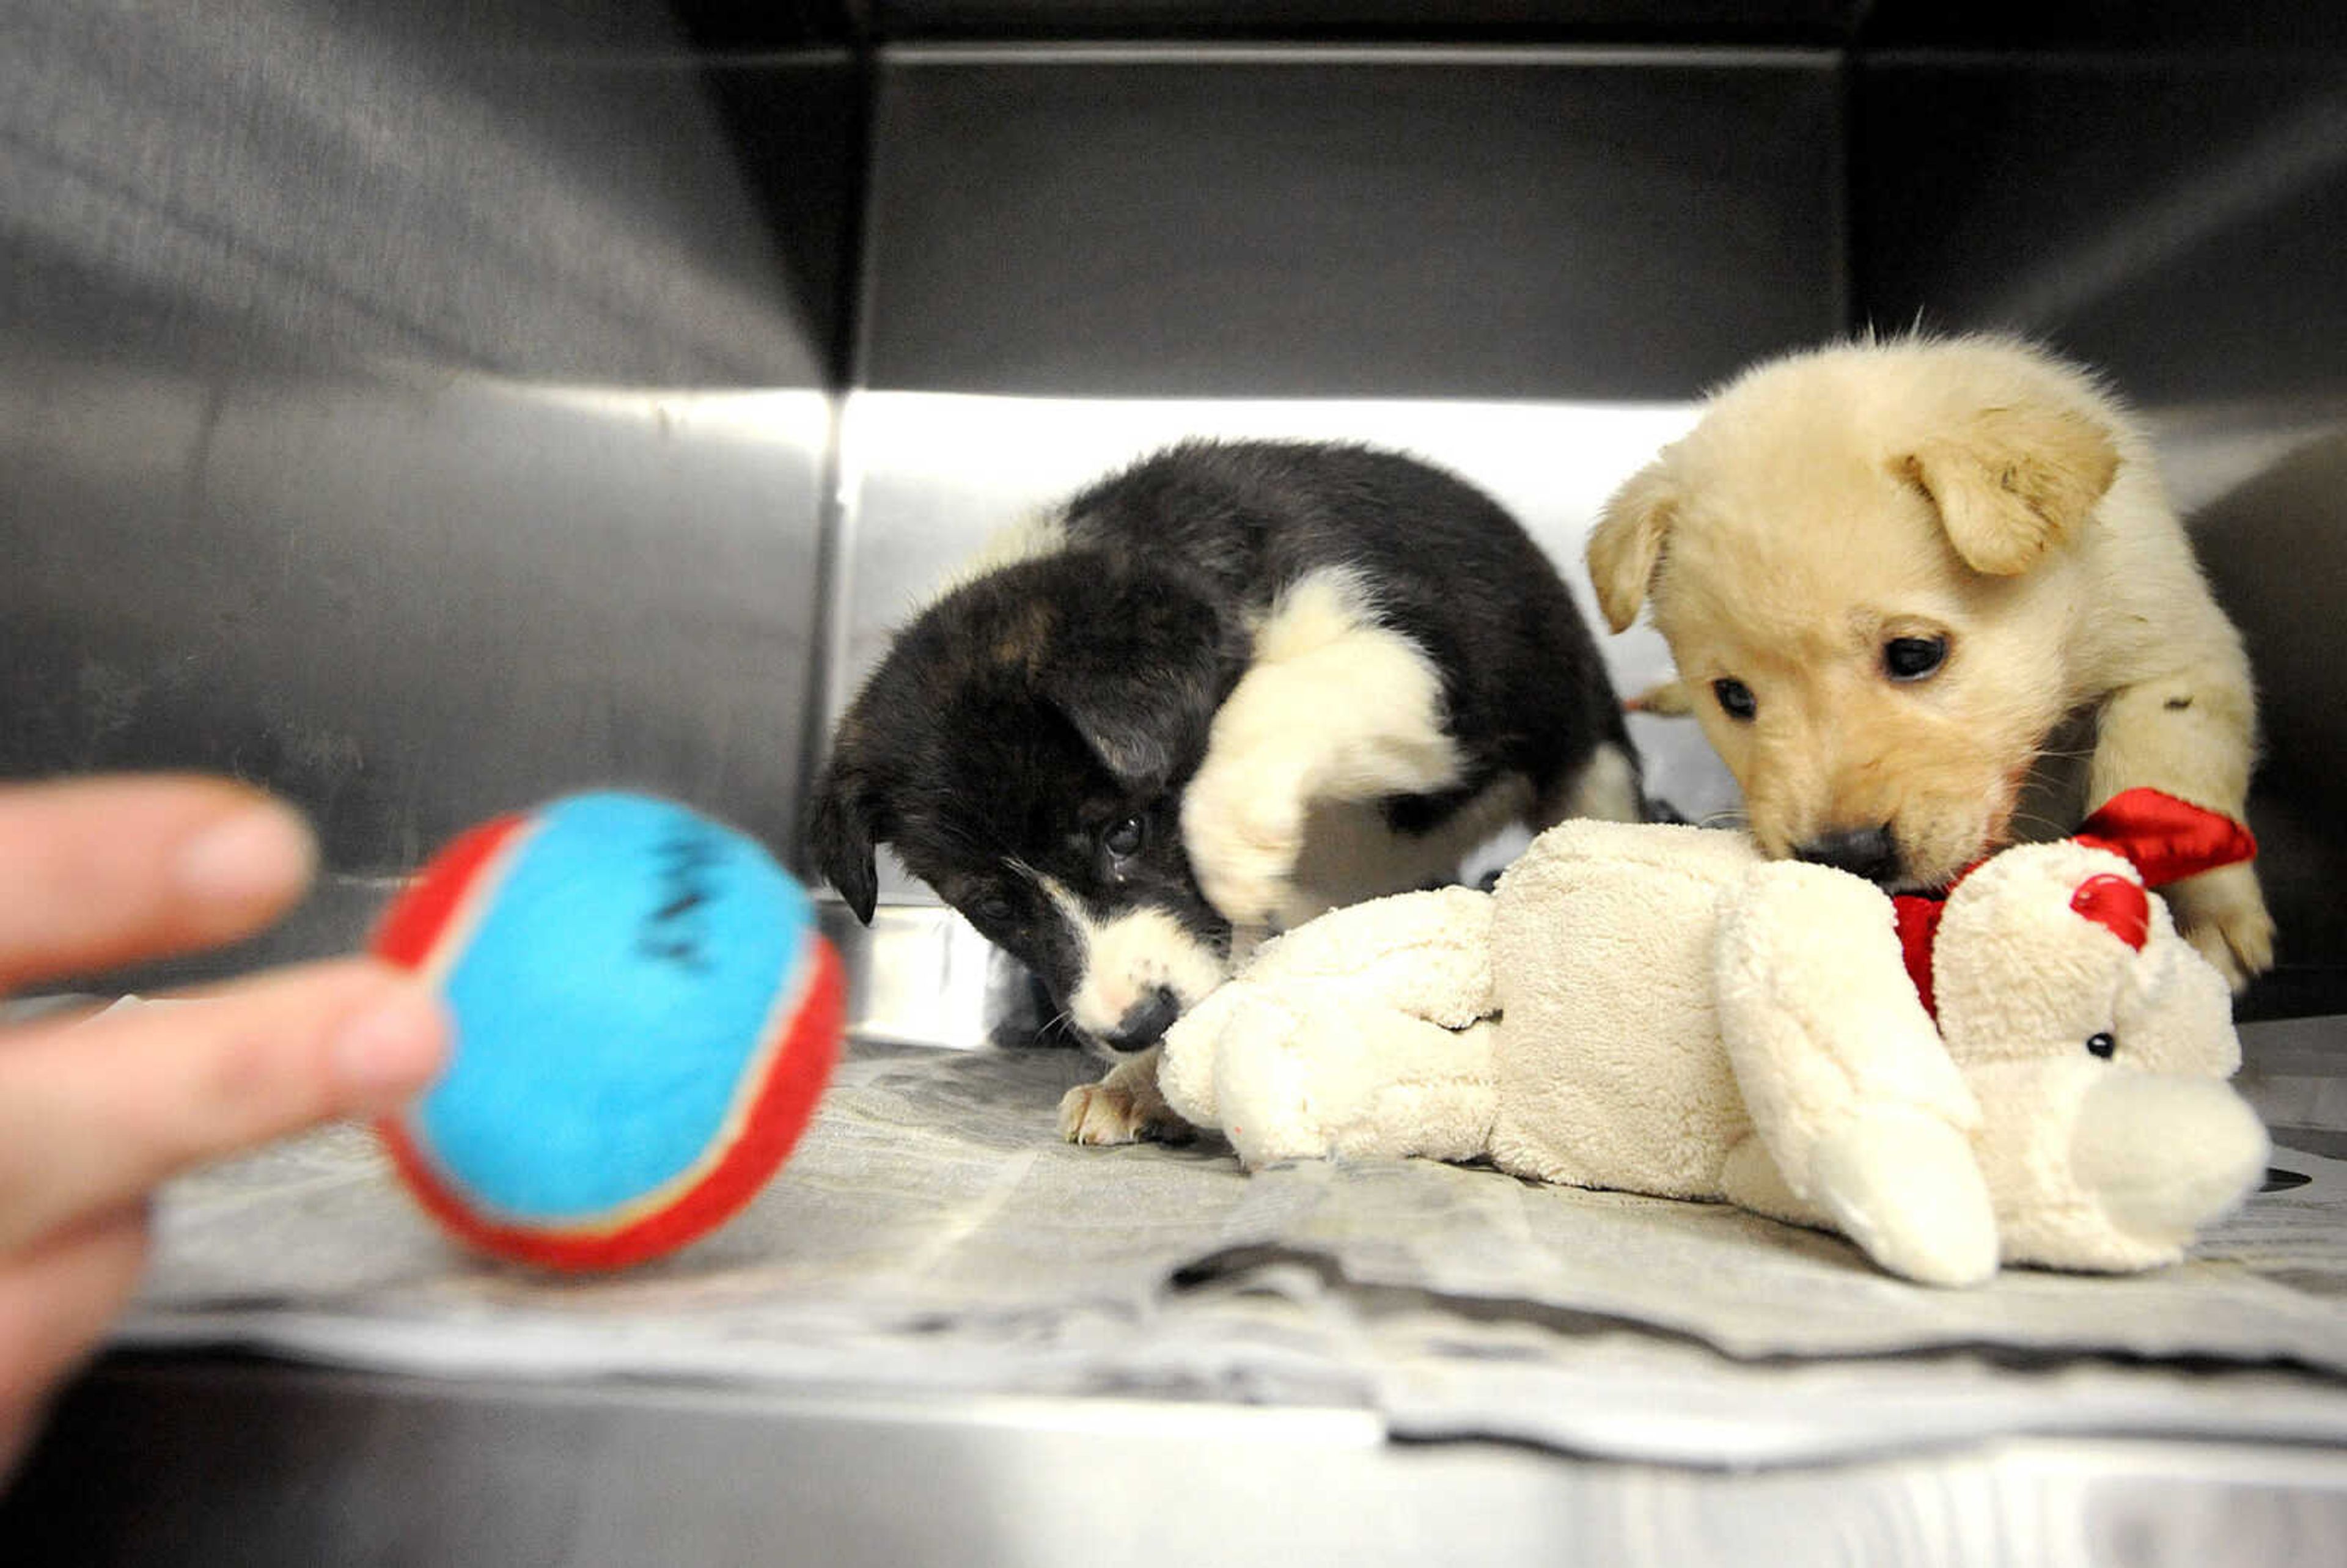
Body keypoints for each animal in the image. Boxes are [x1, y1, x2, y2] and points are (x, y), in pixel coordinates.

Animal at [807, 434, 1652, 1145]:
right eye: (993, 907)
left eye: (1125, 832)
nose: (1134, 1026)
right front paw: (1139, 1083)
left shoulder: (1426, 664)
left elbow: (1277, 696)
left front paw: (1232, 842)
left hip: (1588, 759)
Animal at [1577, 338, 2272, 986]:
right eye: (1734, 696)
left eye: (1914, 653)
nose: (1847, 856)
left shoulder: (2173, 638)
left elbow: (2168, 766)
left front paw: (2208, 913)